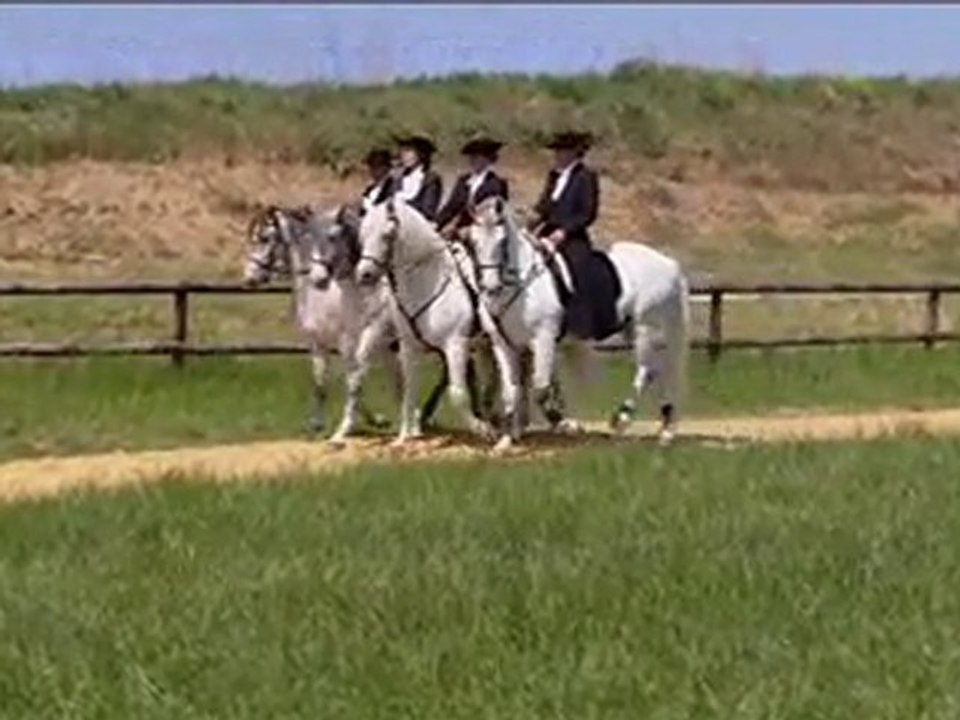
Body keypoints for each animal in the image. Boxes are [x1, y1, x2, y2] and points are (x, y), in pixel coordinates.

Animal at [354, 197, 502, 446]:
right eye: (362, 235)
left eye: (386, 235)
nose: (364, 275)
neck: (428, 282)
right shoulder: (408, 346)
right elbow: (408, 391)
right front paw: (404, 438)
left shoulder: (455, 345)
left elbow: (457, 393)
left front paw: (482, 430)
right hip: (485, 346)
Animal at [466, 196, 690, 450]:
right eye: (472, 242)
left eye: (502, 241)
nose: (490, 288)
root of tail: (669, 264)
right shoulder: (505, 346)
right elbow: (511, 392)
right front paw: (506, 440)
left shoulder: (543, 340)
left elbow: (541, 388)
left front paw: (564, 424)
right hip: (635, 329)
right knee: (660, 370)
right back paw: (665, 430)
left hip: (645, 328)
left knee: (647, 371)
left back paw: (622, 420)